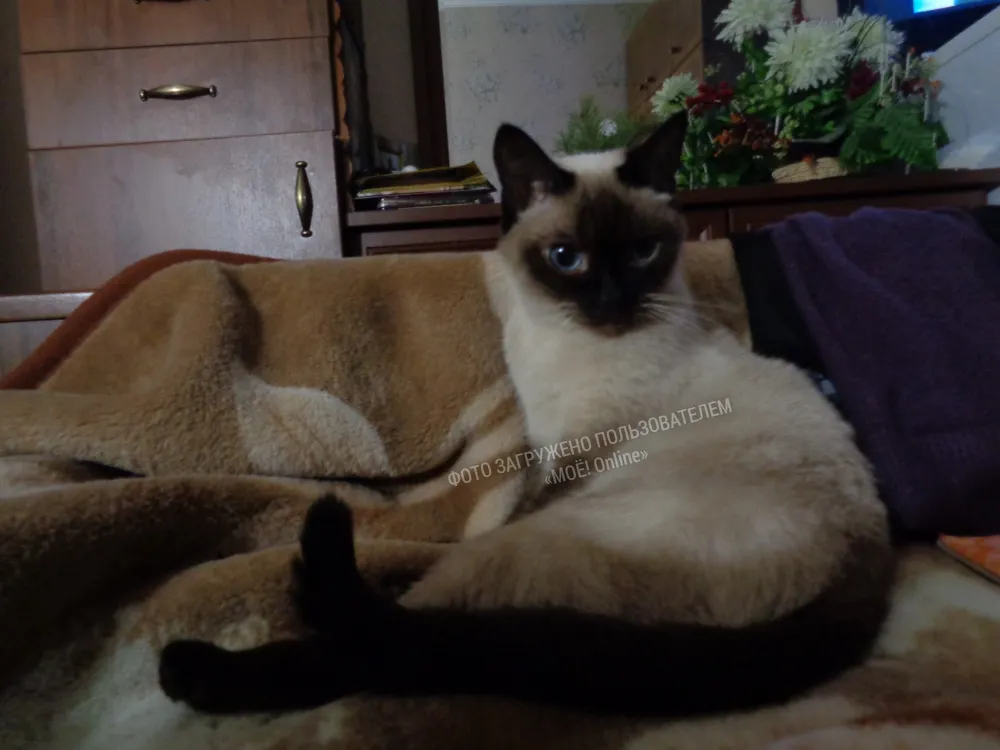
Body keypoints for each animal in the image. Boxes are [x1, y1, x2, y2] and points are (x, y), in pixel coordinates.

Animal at [158, 112, 894, 718]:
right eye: (566, 258)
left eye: (644, 252)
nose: (611, 300)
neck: (565, 344)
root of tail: (867, 553)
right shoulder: (547, 449)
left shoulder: (571, 462)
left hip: (537, 546)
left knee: (395, 644)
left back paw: (202, 665)